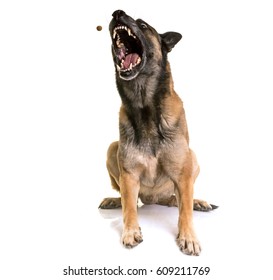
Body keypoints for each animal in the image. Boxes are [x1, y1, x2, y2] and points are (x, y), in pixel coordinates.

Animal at [99, 9, 216, 256]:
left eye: (143, 25)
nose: (117, 13)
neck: (144, 106)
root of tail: (154, 199)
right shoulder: (129, 175)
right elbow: (129, 208)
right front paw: (130, 231)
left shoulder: (183, 174)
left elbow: (185, 211)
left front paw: (188, 237)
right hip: (112, 149)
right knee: (130, 199)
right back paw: (114, 200)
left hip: (192, 156)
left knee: (177, 200)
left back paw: (198, 202)